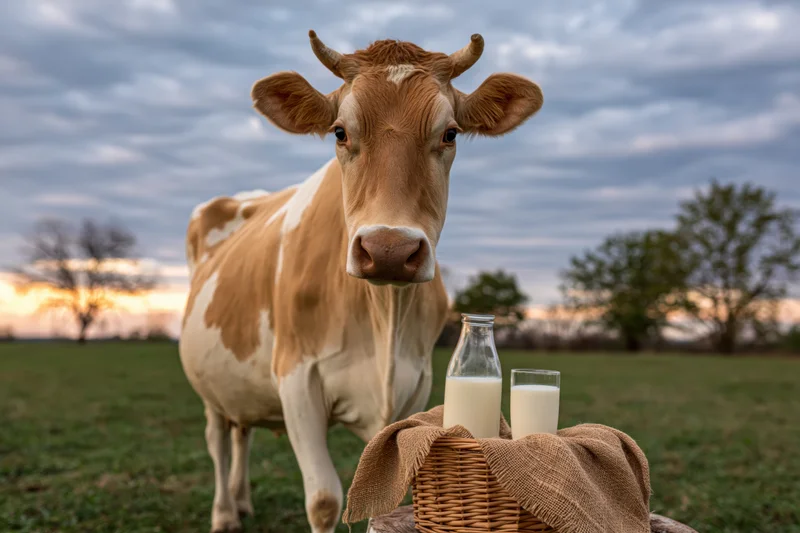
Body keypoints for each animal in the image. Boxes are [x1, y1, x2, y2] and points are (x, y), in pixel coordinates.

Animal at [179, 31, 543, 533]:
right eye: (340, 131)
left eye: (449, 133)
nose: (389, 249)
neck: (381, 319)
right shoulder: (297, 379)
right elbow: (324, 500)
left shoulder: (416, 385)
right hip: (207, 381)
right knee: (217, 438)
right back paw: (225, 514)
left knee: (242, 433)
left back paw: (243, 501)